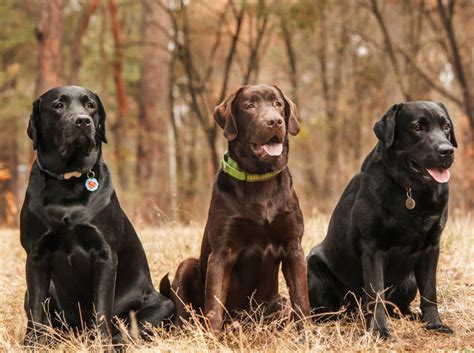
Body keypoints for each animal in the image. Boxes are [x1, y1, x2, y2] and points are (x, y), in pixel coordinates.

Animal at [21, 85, 174, 344]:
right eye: (58, 105)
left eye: (90, 105)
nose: (83, 121)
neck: (68, 183)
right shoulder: (36, 255)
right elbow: (36, 310)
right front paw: (31, 344)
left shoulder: (104, 255)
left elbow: (102, 308)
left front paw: (101, 344)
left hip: (162, 306)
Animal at [163, 84, 312, 332]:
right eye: (249, 106)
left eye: (278, 104)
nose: (274, 121)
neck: (260, 179)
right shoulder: (222, 252)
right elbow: (214, 306)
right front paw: (213, 337)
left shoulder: (293, 247)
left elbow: (301, 299)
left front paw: (307, 333)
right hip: (187, 267)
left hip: (278, 302)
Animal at [306, 101, 458, 336]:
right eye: (417, 127)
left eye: (446, 127)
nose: (447, 150)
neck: (411, 191)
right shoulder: (372, 247)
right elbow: (375, 292)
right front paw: (378, 330)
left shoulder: (432, 246)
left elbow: (430, 292)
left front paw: (434, 324)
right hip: (314, 268)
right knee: (330, 312)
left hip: (409, 280)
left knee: (397, 308)